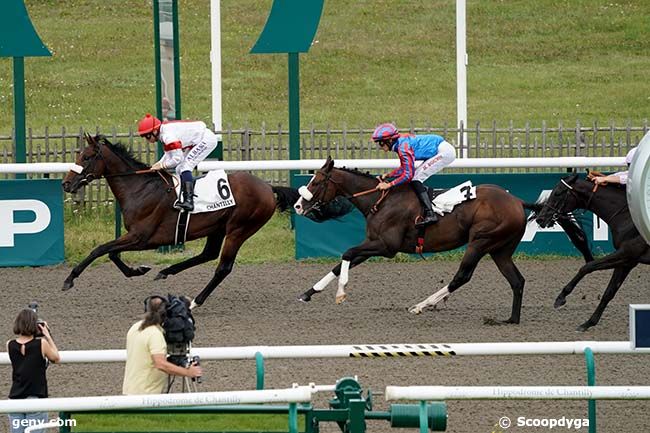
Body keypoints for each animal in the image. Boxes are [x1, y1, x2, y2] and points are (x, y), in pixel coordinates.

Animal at [62, 135, 294, 308]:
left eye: (87, 157)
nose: (66, 184)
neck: (140, 188)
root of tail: (268, 187)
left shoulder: (141, 237)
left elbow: (100, 249)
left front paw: (69, 279)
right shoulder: (136, 237)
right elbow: (111, 253)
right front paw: (138, 270)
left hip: (239, 230)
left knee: (223, 267)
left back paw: (195, 301)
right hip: (218, 227)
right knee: (208, 254)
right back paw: (166, 272)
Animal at [294, 157, 592, 322]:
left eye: (316, 182)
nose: (297, 206)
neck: (381, 200)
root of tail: (518, 201)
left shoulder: (386, 247)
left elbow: (345, 253)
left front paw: (341, 292)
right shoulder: (373, 245)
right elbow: (341, 261)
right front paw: (308, 293)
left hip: (480, 241)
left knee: (462, 276)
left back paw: (422, 305)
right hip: (500, 249)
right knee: (517, 281)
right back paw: (511, 319)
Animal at [536, 174, 644, 330]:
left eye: (557, 193)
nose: (540, 218)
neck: (628, 217)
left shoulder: (627, 253)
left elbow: (587, 266)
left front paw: (561, 297)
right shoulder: (628, 260)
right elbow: (609, 293)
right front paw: (588, 322)